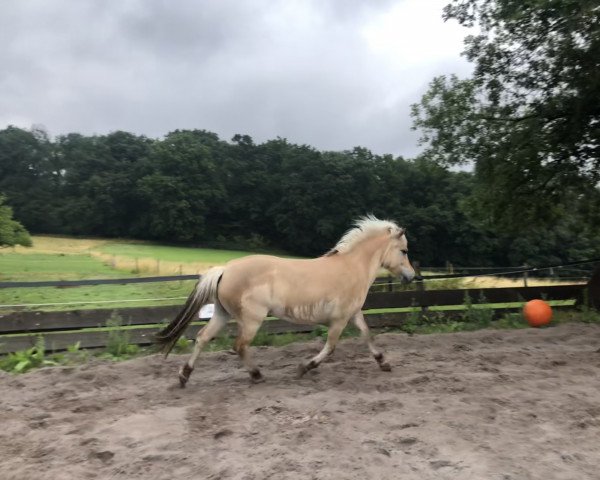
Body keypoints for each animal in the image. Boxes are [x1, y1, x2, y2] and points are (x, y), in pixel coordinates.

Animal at [155, 217, 414, 386]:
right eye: (403, 251)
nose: (411, 276)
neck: (352, 267)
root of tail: (225, 269)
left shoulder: (354, 314)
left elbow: (368, 335)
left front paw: (383, 363)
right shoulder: (339, 319)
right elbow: (330, 347)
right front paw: (304, 368)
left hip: (222, 313)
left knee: (203, 338)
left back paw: (184, 375)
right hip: (252, 319)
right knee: (240, 346)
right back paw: (257, 375)